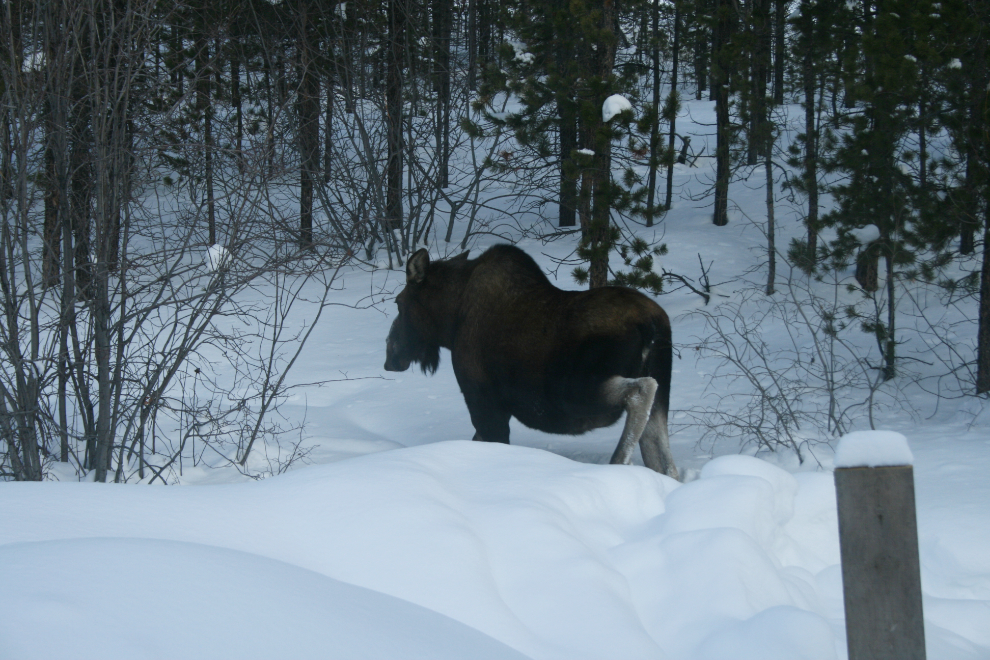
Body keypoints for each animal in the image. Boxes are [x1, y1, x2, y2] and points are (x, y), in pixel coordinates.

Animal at [384, 245, 680, 476]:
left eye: (399, 302)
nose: (390, 357)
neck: (450, 321)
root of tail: (653, 323)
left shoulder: (482, 398)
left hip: (577, 390)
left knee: (641, 390)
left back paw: (618, 463)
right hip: (660, 385)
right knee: (663, 453)